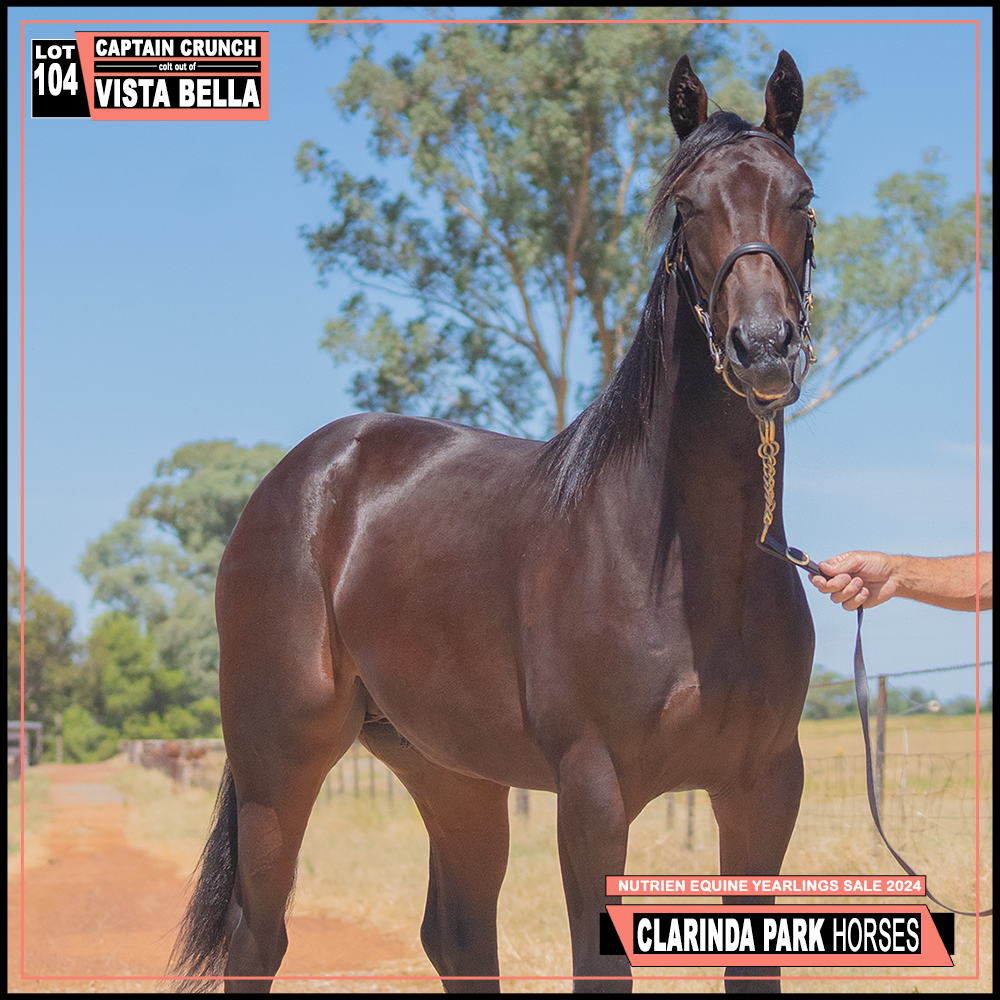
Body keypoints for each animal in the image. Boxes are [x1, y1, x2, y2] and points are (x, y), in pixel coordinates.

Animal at [168, 50, 817, 994]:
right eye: (686, 207)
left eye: (802, 197)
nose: (763, 348)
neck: (693, 571)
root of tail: (296, 479)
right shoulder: (594, 794)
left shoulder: (763, 789)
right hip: (275, 767)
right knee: (259, 941)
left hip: (451, 775)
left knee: (459, 937)